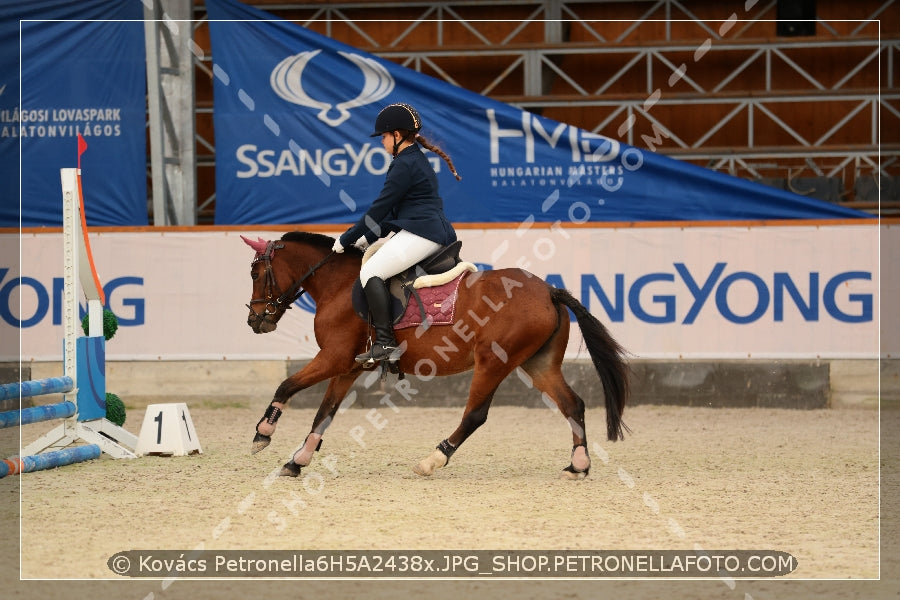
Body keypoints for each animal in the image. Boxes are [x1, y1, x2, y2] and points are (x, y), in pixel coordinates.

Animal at [243, 232, 628, 480]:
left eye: (255, 273)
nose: (254, 320)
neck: (337, 284)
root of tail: (548, 290)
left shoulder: (333, 358)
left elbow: (286, 386)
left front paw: (263, 433)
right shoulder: (347, 367)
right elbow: (323, 415)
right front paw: (299, 460)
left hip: (493, 362)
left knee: (475, 416)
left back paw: (432, 460)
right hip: (538, 363)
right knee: (572, 405)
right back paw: (579, 465)